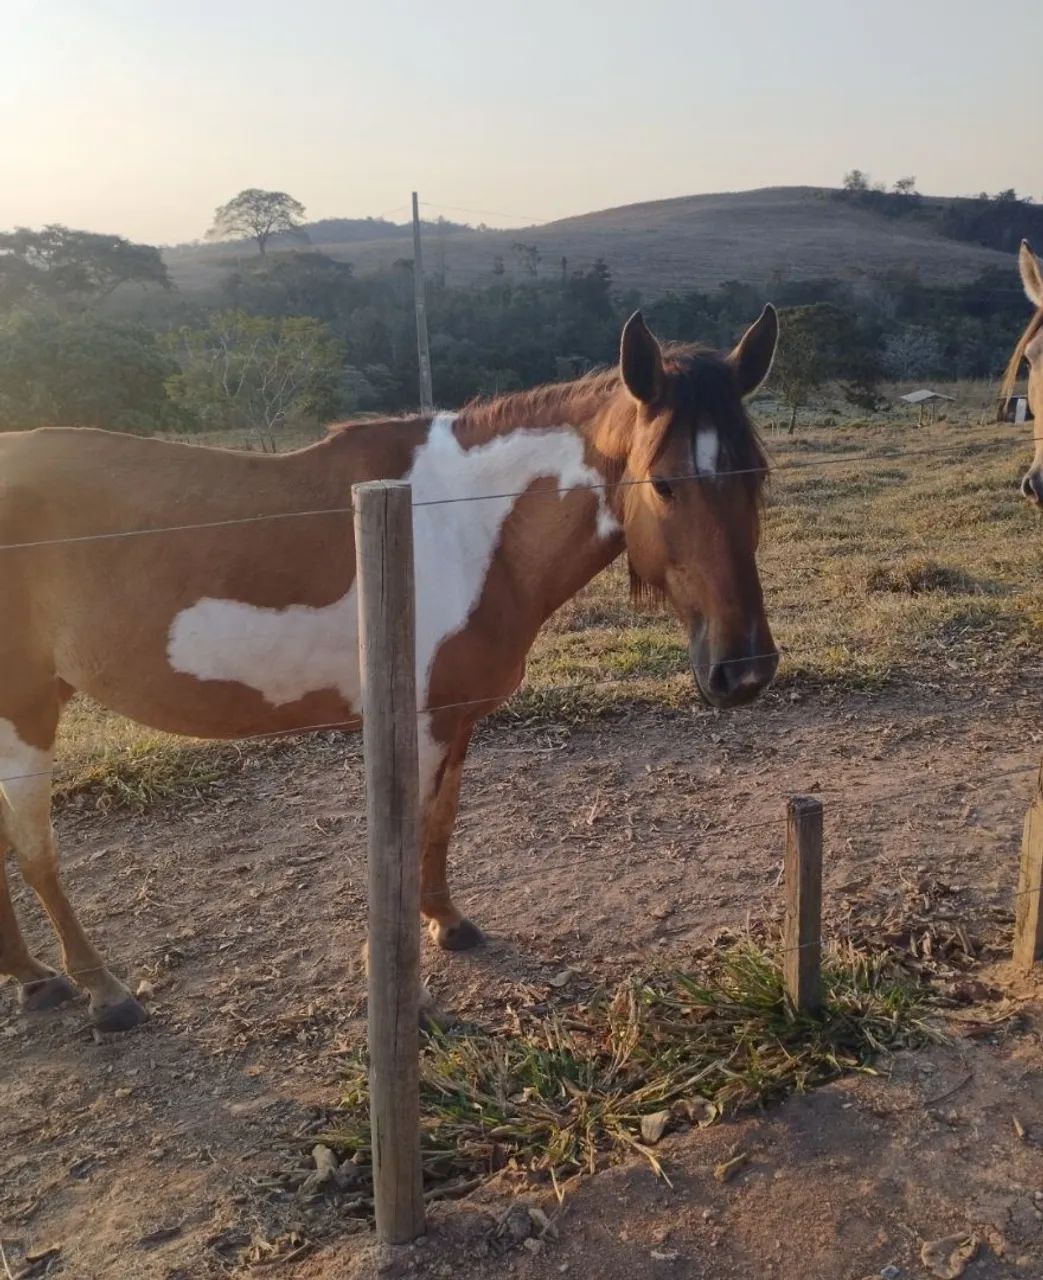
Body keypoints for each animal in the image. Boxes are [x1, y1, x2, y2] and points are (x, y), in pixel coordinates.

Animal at [0, 307, 779, 1032]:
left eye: (758, 478)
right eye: (664, 484)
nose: (743, 670)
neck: (463, 525)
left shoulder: (455, 721)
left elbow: (441, 821)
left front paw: (448, 924)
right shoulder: (418, 723)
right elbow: (406, 836)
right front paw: (412, 993)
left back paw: (33, 977)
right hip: (24, 712)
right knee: (35, 850)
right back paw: (103, 990)